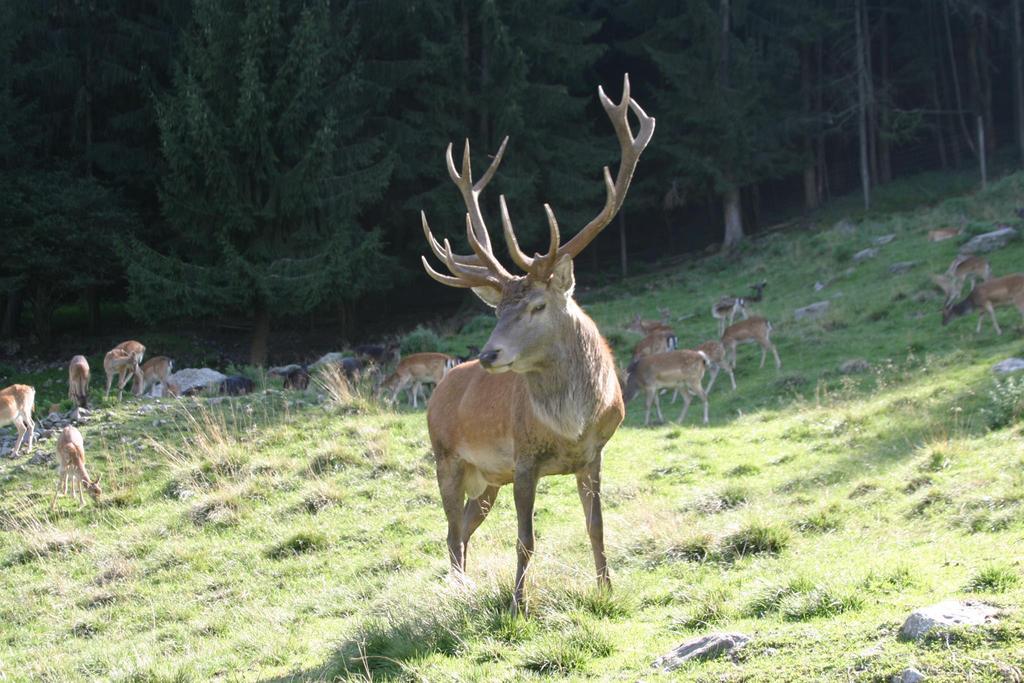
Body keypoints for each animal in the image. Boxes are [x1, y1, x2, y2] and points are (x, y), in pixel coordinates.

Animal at [418, 75, 654, 612]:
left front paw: (607, 590)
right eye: (497, 310)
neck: (571, 426)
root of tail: (441, 387)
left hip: (488, 478)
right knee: (449, 530)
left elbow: (596, 526)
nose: (489, 355)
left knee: (465, 526)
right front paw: (518, 605)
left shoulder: (594, 454)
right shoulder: (523, 460)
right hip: (447, 457)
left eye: (537, 306)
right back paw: (458, 592)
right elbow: (525, 539)